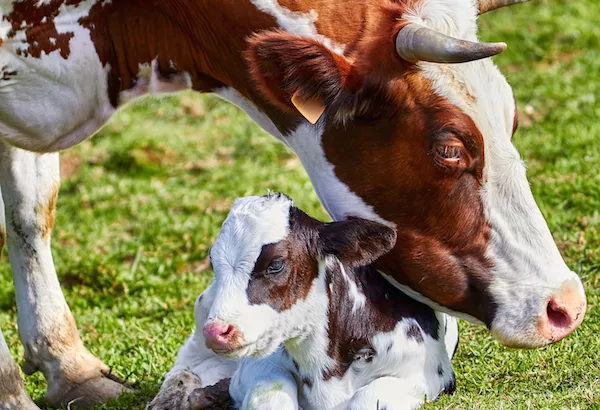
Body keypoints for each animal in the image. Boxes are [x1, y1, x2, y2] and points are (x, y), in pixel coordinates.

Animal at [0, 0, 584, 408]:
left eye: (513, 121)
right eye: (449, 146)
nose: (566, 305)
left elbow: (31, 209)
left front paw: (68, 365)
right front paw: (14, 390)